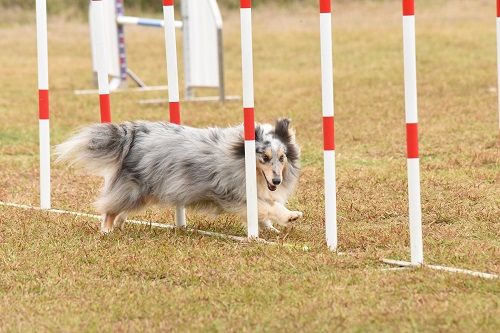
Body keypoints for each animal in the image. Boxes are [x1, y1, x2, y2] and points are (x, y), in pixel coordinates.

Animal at [56, 118, 302, 232]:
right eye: (265, 157)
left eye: (282, 157)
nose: (277, 181)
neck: (240, 159)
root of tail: (132, 134)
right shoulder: (231, 195)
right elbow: (265, 207)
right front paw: (289, 217)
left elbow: (265, 208)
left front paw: (273, 226)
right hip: (136, 187)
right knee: (109, 208)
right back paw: (107, 230)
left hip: (144, 191)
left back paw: (120, 223)